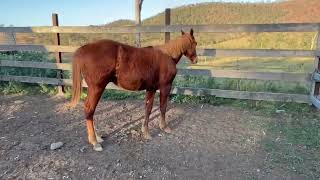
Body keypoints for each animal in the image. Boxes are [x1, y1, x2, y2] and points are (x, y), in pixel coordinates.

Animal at [69, 28, 198, 151]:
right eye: (195, 43)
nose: (196, 60)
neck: (167, 55)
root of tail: (84, 48)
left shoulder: (151, 88)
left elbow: (148, 109)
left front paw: (145, 132)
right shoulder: (165, 87)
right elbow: (163, 107)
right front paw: (164, 127)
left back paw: (97, 137)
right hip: (97, 88)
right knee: (89, 109)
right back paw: (94, 141)